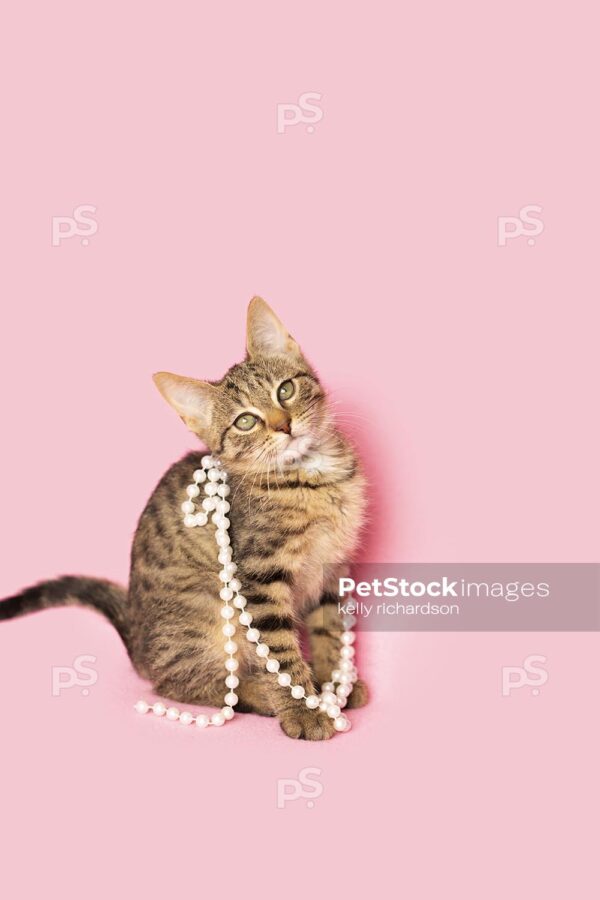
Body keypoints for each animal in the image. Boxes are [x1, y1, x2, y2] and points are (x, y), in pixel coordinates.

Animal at [0, 298, 368, 740]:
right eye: (246, 421)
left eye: (285, 390)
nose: (284, 425)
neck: (311, 477)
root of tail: (138, 643)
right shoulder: (259, 577)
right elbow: (279, 652)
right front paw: (302, 709)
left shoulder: (331, 567)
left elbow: (329, 629)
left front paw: (334, 679)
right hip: (209, 607)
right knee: (180, 682)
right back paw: (260, 695)